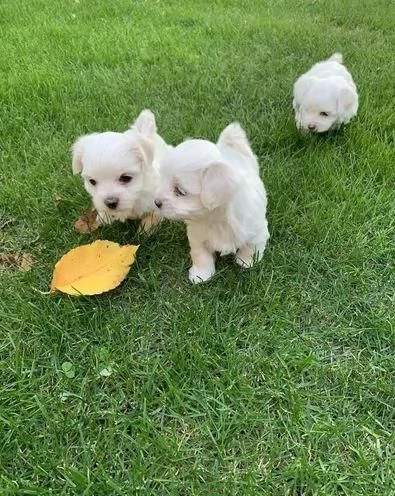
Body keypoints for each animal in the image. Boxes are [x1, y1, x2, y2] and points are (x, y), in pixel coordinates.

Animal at [154, 123, 270, 282]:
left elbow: (251, 247)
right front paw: (201, 275)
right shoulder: (197, 236)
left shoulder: (256, 230)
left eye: (180, 191)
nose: (156, 202)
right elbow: (201, 255)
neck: (216, 219)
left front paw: (247, 262)